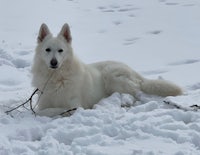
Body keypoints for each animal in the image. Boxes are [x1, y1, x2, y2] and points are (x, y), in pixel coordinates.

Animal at [30, 23, 181, 115]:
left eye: (60, 50)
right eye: (47, 50)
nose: (54, 63)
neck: (56, 78)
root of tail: (133, 71)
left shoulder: (75, 106)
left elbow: (49, 111)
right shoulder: (44, 102)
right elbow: (43, 110)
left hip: (111, 76)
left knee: (136, 94)